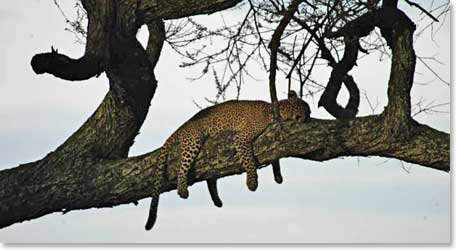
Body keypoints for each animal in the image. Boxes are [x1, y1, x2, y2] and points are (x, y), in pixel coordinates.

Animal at [145, 91, 310, 229]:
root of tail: (181, 127)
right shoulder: (241, 138)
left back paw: (217, 201)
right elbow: (249, 161)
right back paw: (183, 190)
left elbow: (275, 158)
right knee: (182, 169)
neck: (275, 111)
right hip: (193, 141)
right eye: (305, 108)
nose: (310, 115)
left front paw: (278, 176)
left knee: (211, 179)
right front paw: (252, 183)